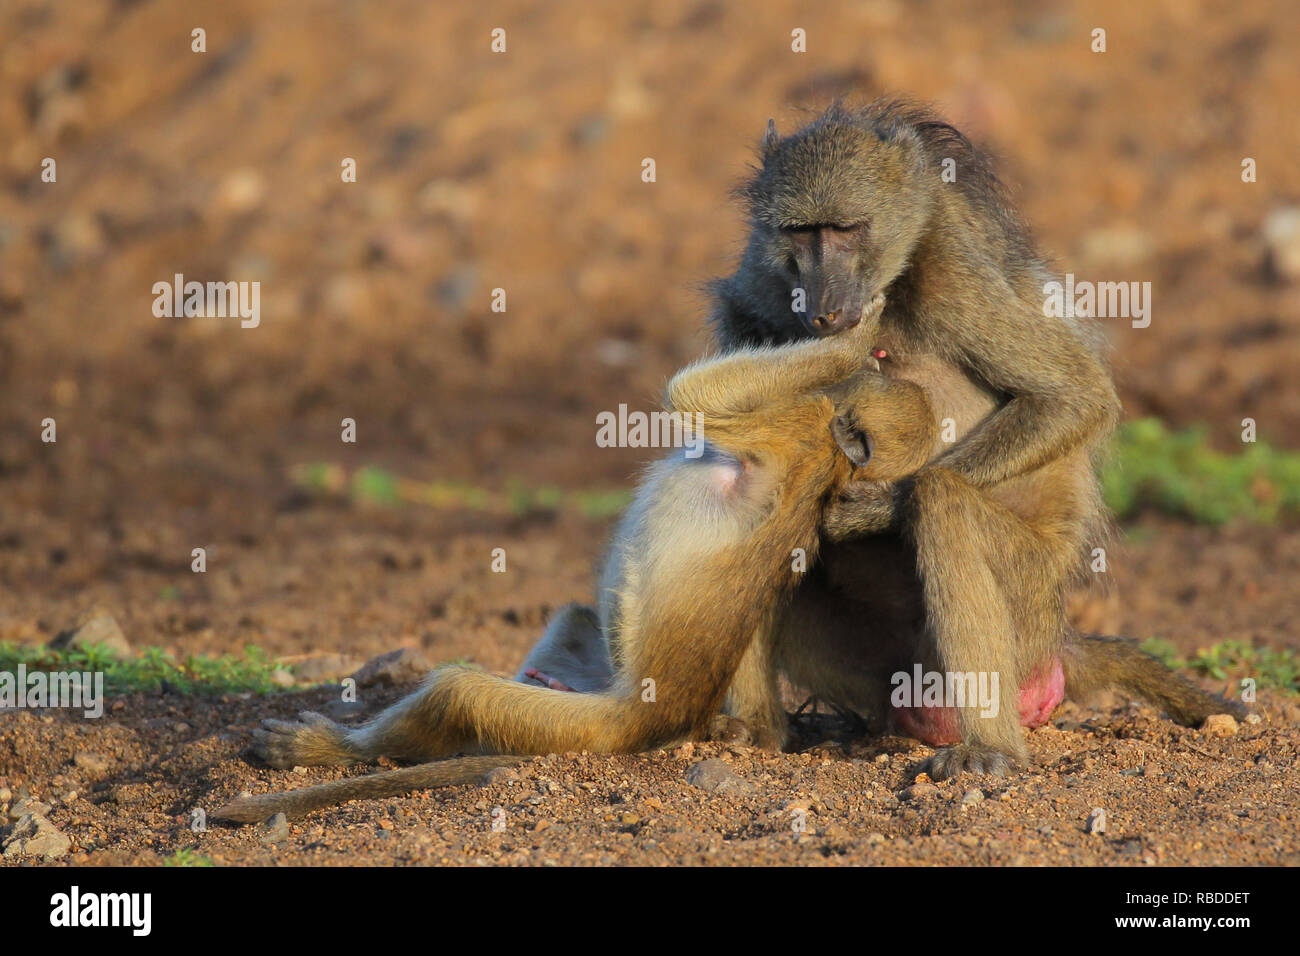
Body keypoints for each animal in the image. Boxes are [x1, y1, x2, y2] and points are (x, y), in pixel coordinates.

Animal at [709, 99, 1237, 777]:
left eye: (847, 228)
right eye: (801, 233)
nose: (824, 310)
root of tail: (1059, 639)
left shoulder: (953, 279)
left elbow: (1072, 395)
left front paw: (867, 512)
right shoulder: (747, 299)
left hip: (1028, 601)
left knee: (944, 502)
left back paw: (990, 748)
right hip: (880, 668)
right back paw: (758, 731)